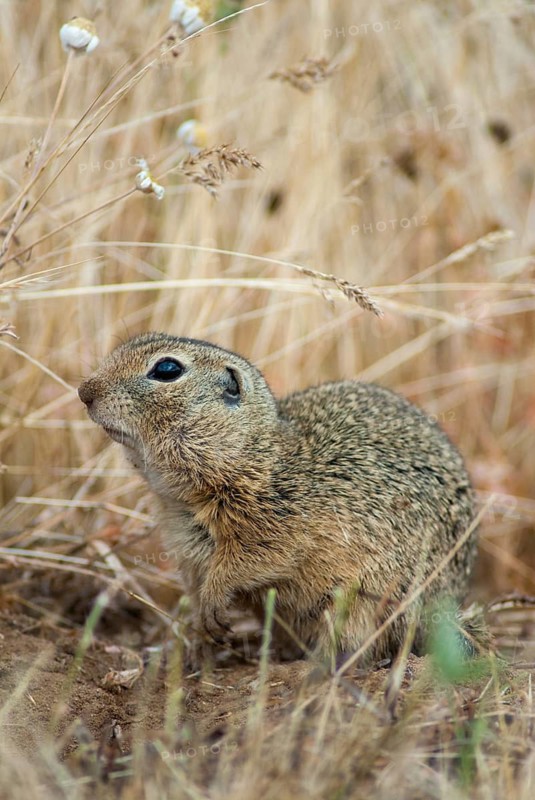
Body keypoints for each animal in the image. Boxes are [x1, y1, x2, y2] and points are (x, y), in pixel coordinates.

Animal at [78, 333, 478, 664]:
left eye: (166, 369)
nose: (84, 391)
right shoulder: (190, 558)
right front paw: (200, 641)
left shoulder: (275, 533)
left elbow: (241, 567)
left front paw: (212, 609)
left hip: (364, 602)